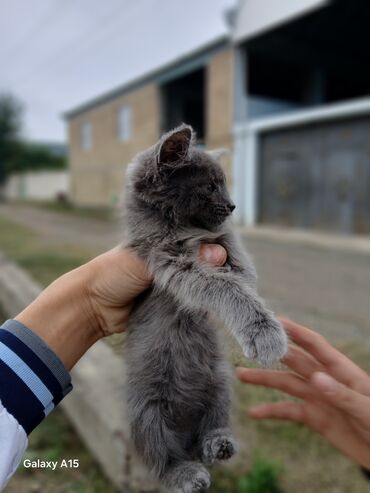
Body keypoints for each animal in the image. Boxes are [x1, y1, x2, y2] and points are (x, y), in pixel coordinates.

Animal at [123, 125, 288, 490]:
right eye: (211, 186)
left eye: (224, 184)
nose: (232, 205)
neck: (183, 227)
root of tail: (185, 430)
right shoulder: (170, 261)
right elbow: (225, 286)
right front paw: (265, 333)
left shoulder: (221, 243)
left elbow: (240, 267)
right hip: (144, 410)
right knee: (162, 456)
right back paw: (186, 474)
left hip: (220, 382)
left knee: (210, 428)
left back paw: (219, 445)